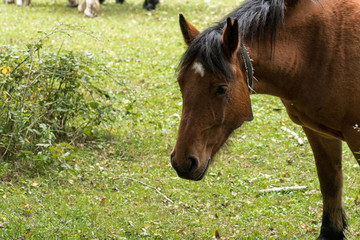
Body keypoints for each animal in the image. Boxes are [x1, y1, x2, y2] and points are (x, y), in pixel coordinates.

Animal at [171, 0, 360, 238]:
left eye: (221, 89)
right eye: (181, 83)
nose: (182, 161)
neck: (318, 49)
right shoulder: (319, 132)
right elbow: (330, 183)